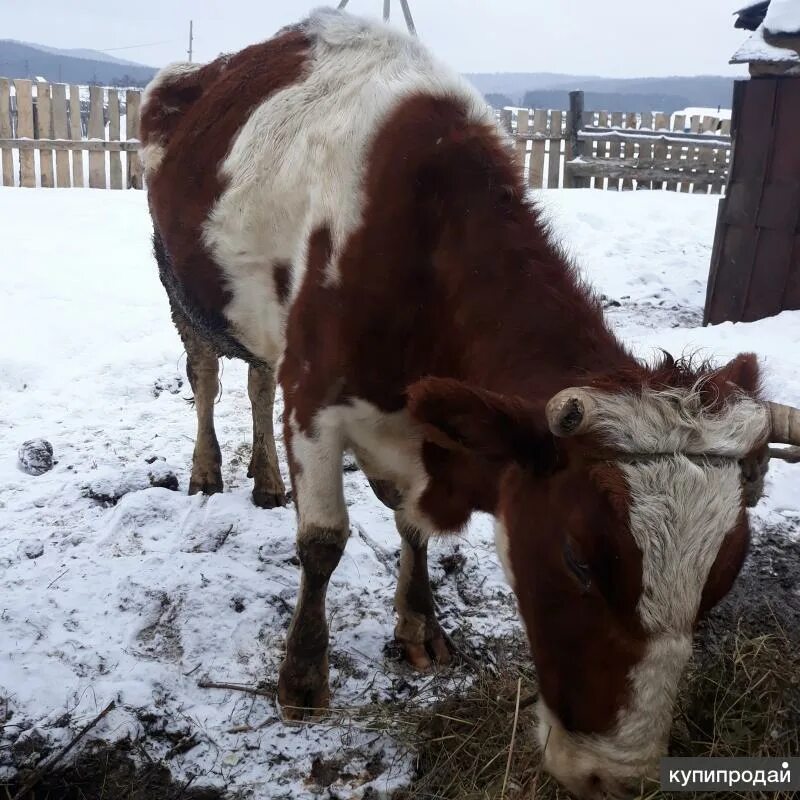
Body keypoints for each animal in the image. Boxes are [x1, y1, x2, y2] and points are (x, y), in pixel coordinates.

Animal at [139, 10, 800, 792]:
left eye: (724, 575)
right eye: (578, 558)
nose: (616, 778)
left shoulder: (420, 428)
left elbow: (410, 522)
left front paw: (419, 624)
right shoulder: (314, 400)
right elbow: (324, 541)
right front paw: (302, 677)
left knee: (255, 377)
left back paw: (265, 479)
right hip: (182, 290)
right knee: (209, 376)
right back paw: (209, 469)